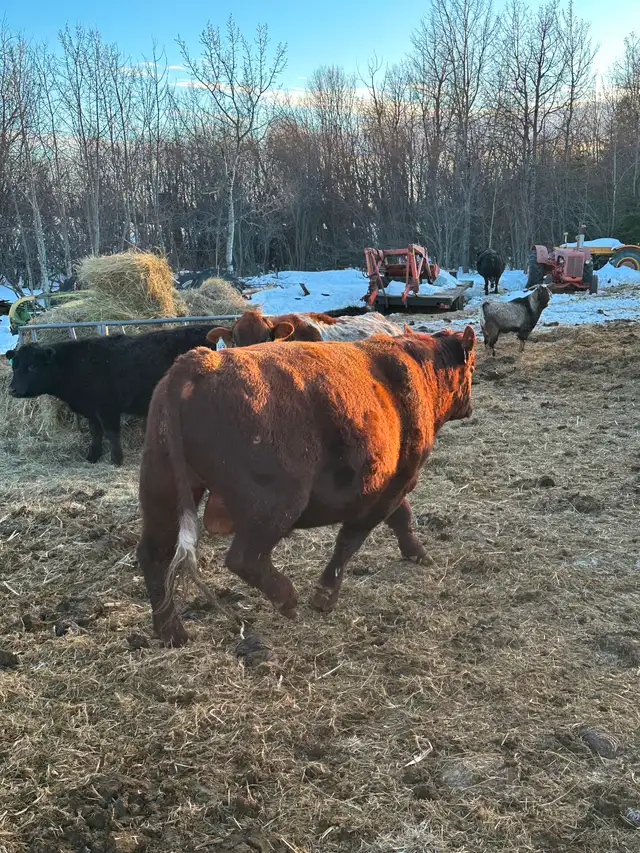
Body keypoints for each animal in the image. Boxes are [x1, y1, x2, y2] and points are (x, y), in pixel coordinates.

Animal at [5, 325, 221, 466]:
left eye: (32, 367)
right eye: (14, 366)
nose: (12, 389)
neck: (78, 365)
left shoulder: (107, 408)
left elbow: (111, 433)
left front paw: (116, 459)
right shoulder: (91, 410)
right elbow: (95, 433)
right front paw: (92, 456)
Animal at [136, 325, 477, 646]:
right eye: (471, 368)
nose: (469, 407)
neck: (415, 369)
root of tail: (197, 363)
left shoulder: (391, 487)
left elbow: (400, 518)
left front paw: (415, 552)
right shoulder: (392, 485)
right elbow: (351, 541)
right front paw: (325, 594)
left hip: (163, 493)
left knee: (154, 555)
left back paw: (171, 631)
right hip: (276, 505)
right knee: (245, 557)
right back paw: (286, 598)